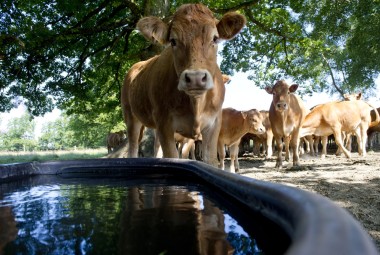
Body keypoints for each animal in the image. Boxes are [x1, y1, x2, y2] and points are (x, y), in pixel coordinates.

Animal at [119, 4, 246, 167]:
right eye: (173, 41)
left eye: (215, 38)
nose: (195, 78)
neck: (196, 105)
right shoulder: (164, 123)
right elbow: (172, 156)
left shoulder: (213, 124)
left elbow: (209, 159)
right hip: (130, 116)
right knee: (134, 146)